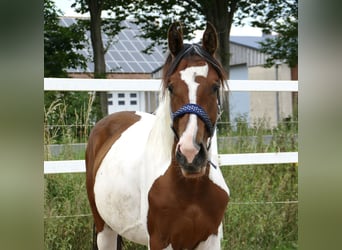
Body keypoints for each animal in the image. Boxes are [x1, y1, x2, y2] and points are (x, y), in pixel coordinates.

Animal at [85, 22, 230, 250]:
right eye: (171, 87)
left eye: (215, 87)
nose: (190, 154)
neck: (191, 189)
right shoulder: (159, 241)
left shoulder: (211, 240)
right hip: (104, 229)